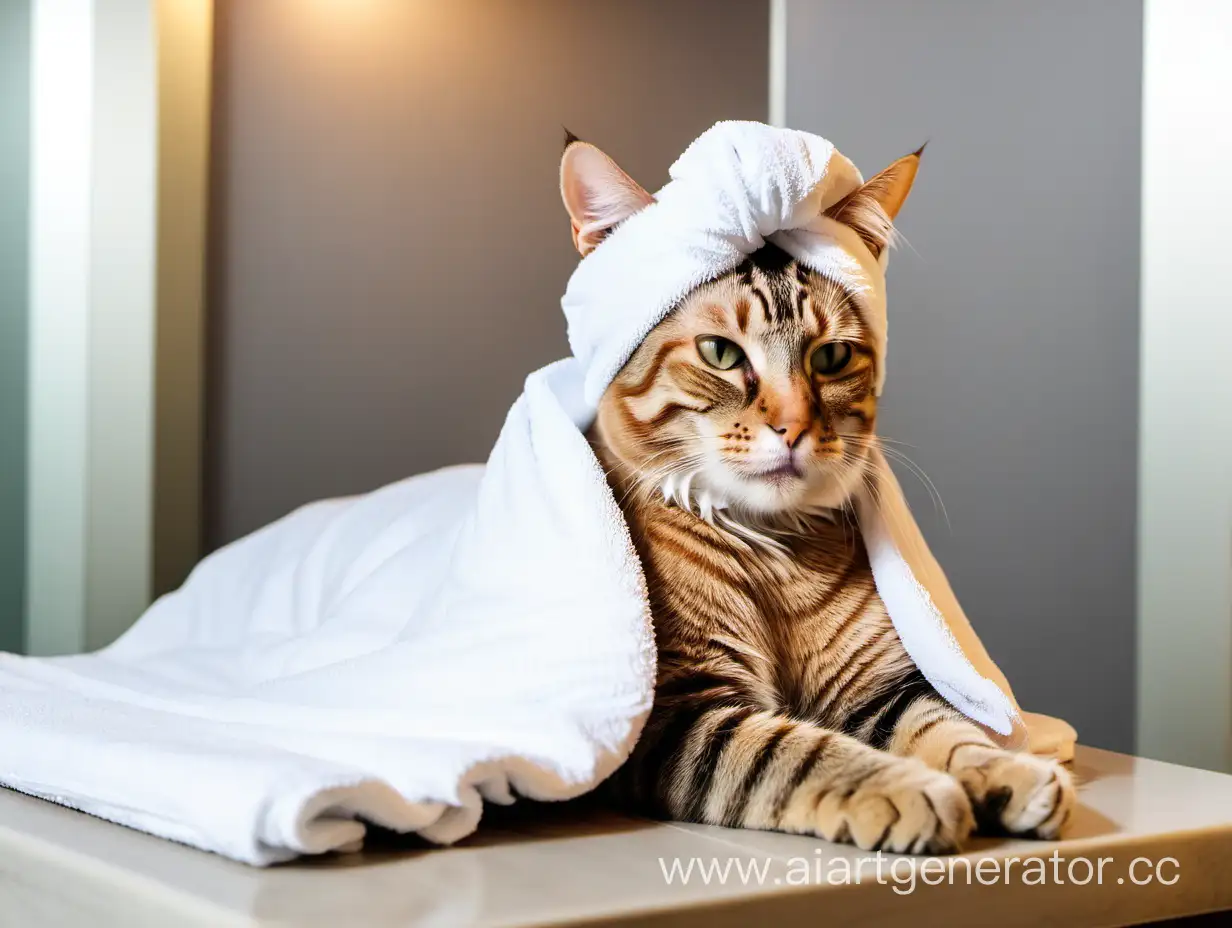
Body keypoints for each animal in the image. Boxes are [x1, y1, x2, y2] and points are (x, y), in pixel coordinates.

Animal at [564, 133, 1074, 852]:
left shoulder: (880, 688)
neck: (777, 562)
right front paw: (913, 791)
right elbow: (794, 752)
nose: (794, 428)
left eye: (831, 358)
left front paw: (1008, 770)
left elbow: (948, 728)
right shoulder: (679, 712)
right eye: (720, 352)